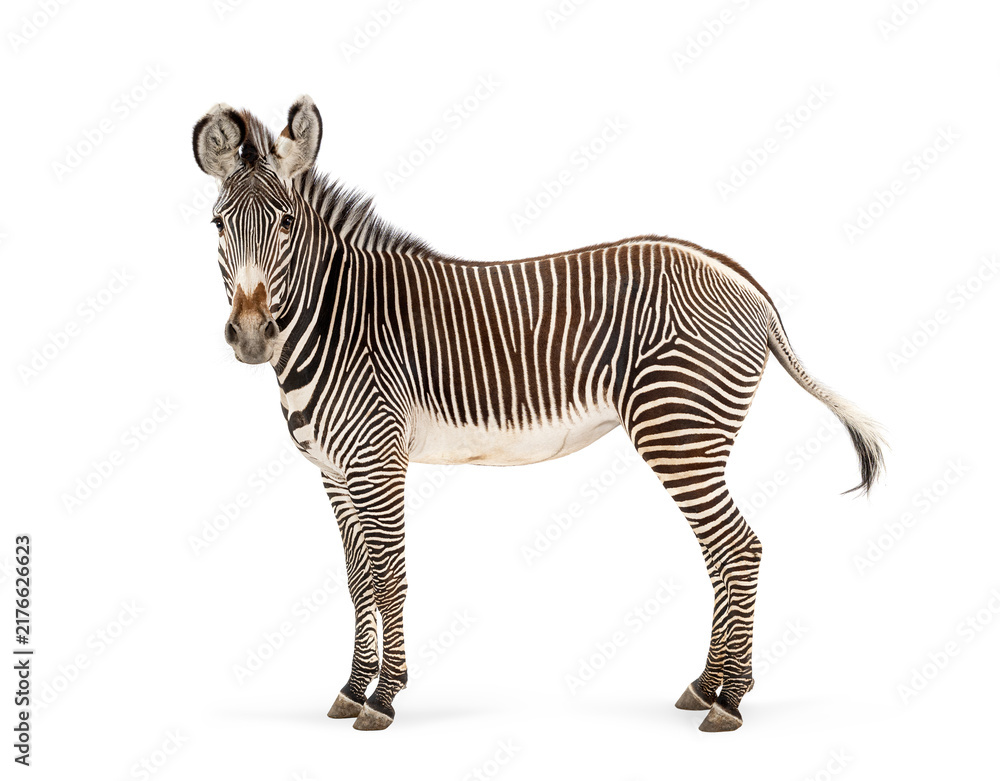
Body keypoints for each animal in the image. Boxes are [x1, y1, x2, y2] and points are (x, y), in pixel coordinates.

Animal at [192, 96, 885, 732]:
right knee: (723, 553)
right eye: (218, 224)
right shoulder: (334, 471)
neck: (332, 322)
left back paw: (730, 701)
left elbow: (389, 579)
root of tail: (742, 281)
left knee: (738, 549)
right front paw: (351, 689)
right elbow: (357, 580)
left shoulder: (377, 460)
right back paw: (705, 686)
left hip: (678, 429)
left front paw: (384, 700)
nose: (251, 337)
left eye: (285, 224)